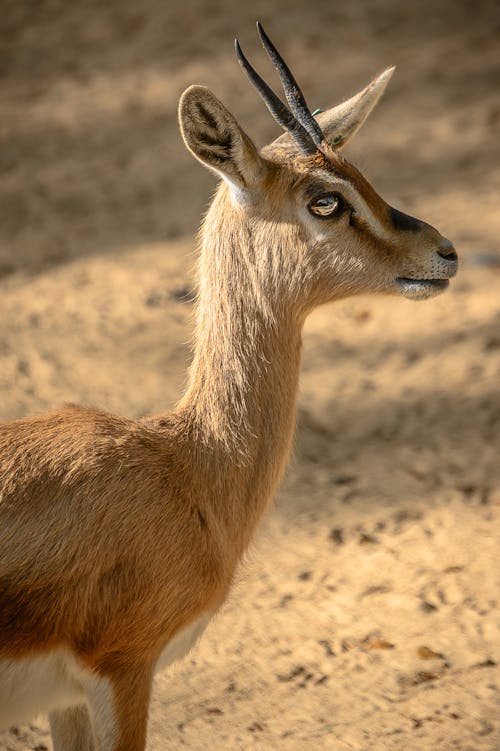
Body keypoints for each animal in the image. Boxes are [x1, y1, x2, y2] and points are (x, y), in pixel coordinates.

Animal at [0, 23, 458, 751]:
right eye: (325, 199)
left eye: (359, 174)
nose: (445, 252)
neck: (184, 464)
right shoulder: (124, 668)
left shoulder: (65, 698)